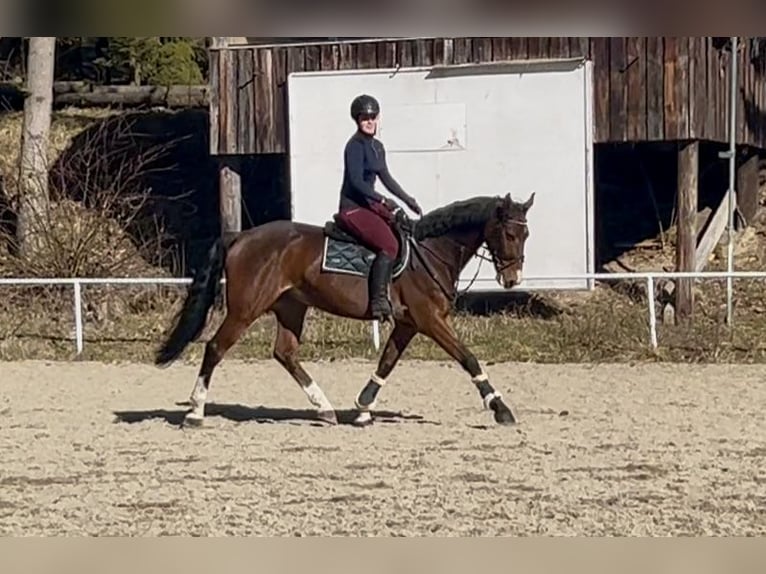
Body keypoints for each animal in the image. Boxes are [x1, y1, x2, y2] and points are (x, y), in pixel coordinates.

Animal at [156, 194, 536, 428]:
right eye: (508, 233)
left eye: (526, 234)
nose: (512, 278)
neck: (431, 251)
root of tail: (241, 236)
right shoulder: (430, 320)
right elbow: (468, 357)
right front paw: (500, 408)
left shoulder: (409, 323)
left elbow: (386, 362)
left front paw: (363, 408)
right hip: (245, 310)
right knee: (215, 348)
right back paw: (195, 412)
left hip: (291, 307)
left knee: (285, 353)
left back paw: (324, 408)